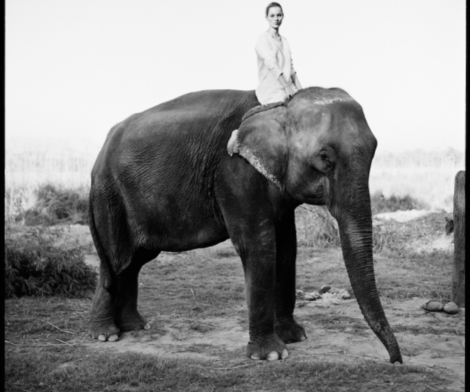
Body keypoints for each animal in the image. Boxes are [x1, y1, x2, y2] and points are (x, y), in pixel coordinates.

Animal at [89, 87, 404, 362]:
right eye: (324, 158)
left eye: (375, 151)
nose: (395, 361)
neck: (280, 105)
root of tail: (98, 157)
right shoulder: (234, 173)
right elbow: (259, 244)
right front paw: (271, 355)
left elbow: (287, 247)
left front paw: (294, 337)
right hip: (109, 196)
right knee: (115, 260)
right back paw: (106, 335)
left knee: (134, 261)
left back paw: (135, 327)